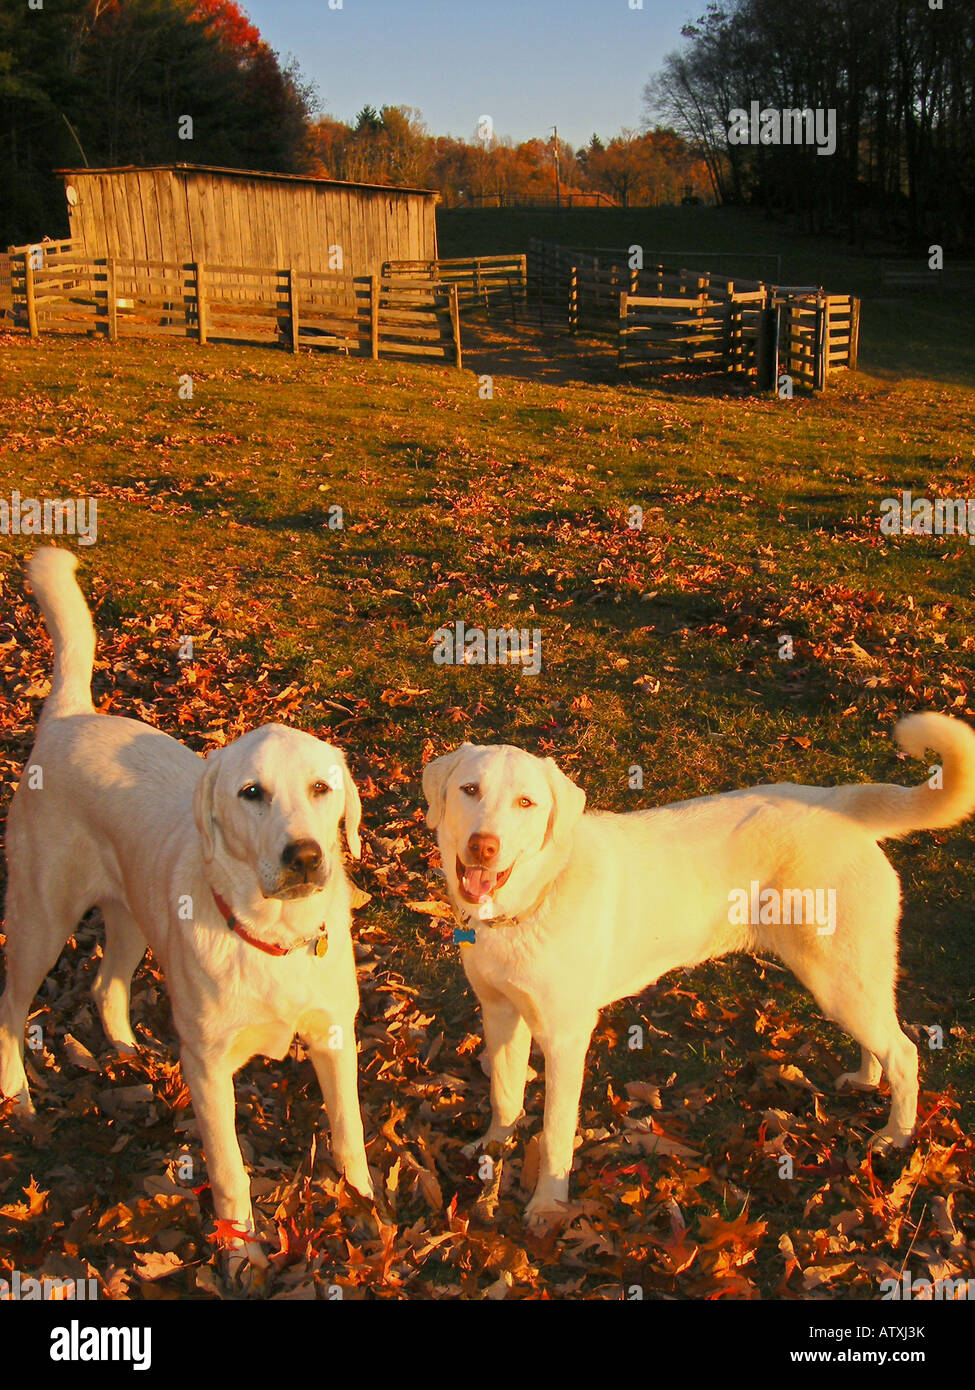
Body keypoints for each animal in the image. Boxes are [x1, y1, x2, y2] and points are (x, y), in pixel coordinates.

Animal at [0, 547, 372, 1267]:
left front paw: (365, 1209)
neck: (273, 937)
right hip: (41, 917)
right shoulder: (209, 1066)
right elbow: (228, 1169)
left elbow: (348, 1136)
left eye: (322, 788)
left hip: (131, 917)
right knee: (9, 1006)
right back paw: (17, 1099)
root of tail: (67, 718)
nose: (305, 856)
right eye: (252, 793)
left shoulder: (333, 1035)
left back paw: (126, 1052)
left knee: (106, 984)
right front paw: (240, 1254)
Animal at [422, 722, 973, 1223]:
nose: (483, 846)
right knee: (880, 1041)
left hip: (838, 979)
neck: (527, 904)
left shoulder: (565, 1036)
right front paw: (492, 1148)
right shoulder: (500, 1014)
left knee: (903, 1052)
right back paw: (864, 1079)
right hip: (848, 980)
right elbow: (504, 1096)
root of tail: (839, 800)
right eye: (469, 790)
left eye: (526, 803)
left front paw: (547, 1205)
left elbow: (555, 1130)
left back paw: (897, 1134)